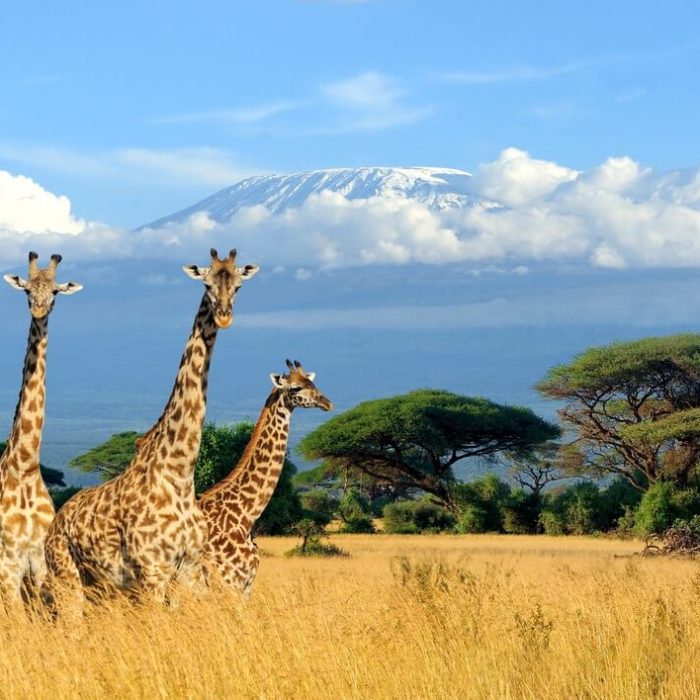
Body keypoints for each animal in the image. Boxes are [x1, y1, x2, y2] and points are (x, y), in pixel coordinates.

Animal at [44, 248, 259, 611]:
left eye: (239, 286)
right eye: (206, 283)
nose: (224, 316)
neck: (179, 473)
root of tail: (56, 521)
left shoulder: (189, 569)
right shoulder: (152, 571)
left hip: (101, 587)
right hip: (66, 577)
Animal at [198, 359, 332, 595]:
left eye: (313, 383)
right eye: (295, 388)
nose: (327, 403)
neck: (245, 514)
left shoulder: (244, 585)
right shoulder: (230, 582)